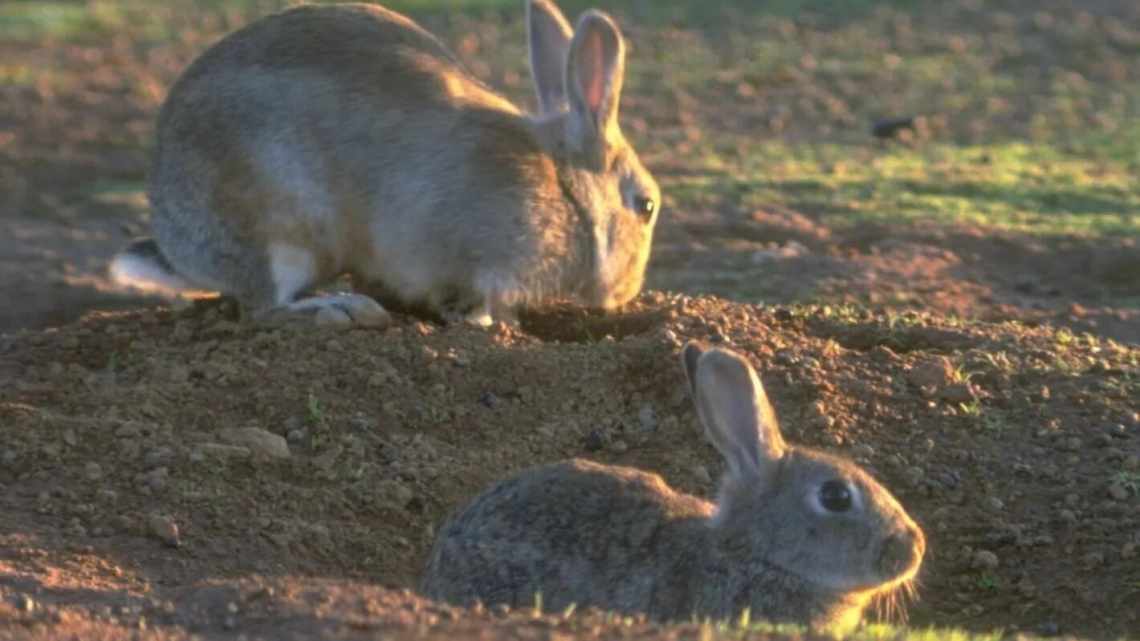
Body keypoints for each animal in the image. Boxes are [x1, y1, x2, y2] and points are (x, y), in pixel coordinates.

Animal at [108, 1, 661, 323]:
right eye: (647, 206)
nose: (627, 292)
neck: (565, 190)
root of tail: (176, 241)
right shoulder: (475, 256)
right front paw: (487, 324)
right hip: (276, 225)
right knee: (264, 307)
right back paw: (339, 307)